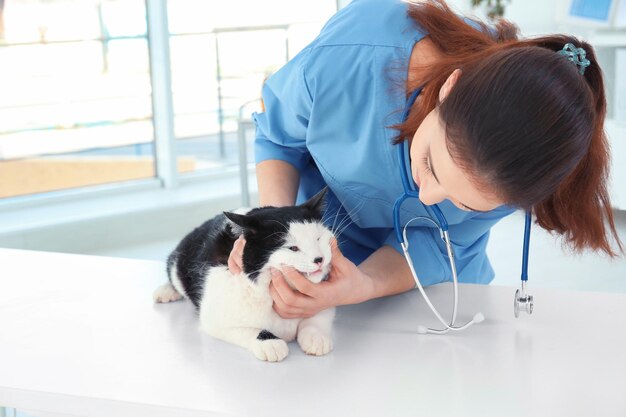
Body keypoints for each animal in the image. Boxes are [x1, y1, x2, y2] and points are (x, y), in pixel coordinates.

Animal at [153, 188, 334, 360]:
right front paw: (270, 343)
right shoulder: (214, 318)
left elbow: (317, 316)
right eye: (293, 248)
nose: (319, 259)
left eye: (318, 238)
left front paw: (316, 337)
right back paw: (166, 291)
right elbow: (249, 330)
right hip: (179, 261)